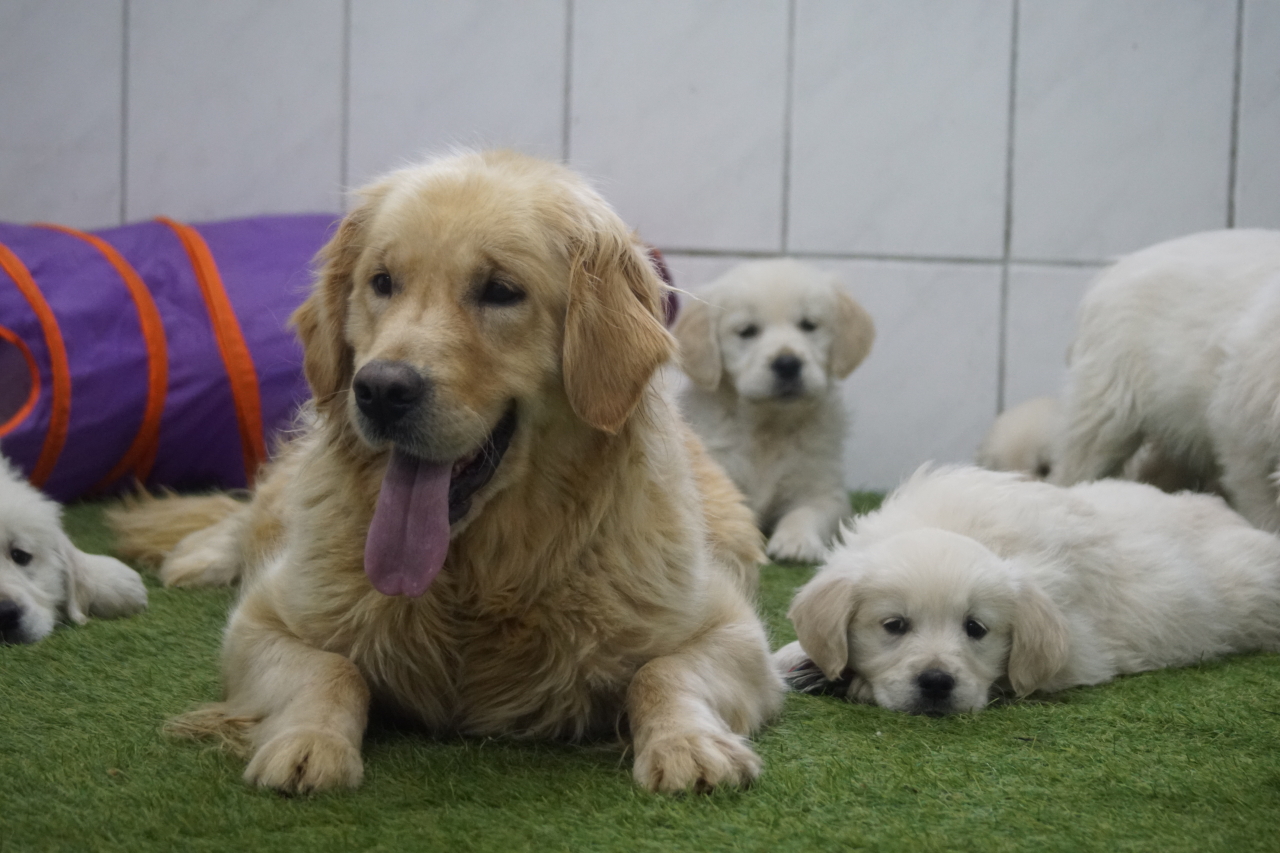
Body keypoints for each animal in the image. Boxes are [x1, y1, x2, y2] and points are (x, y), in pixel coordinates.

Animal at [110, 150, 783, 795]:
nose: (380, 390)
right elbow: (335, 667)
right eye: (382, 283)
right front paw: (307, 742)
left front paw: (689, 744)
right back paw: (199, 556)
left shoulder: (733, 630)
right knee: (249, 513)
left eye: (500, 290)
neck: (475, 582)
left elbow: (661, 671)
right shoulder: (262, 622)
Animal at [672, 259, 875, 563]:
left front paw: (796, 542)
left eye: (809, 325)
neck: (768, 427)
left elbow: (806, 512)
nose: (788, 364)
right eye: (747, 331)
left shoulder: (824, 489)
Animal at [773, 465, 1280, 715]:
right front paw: (798, 660)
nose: (936, 683)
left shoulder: (1076, 651)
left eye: (976, 629)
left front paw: (851, 682)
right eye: (894, 626)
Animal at [1052, 229, 1280, 507]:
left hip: (1177, 421)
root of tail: (1116, 264)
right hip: (1105, 405)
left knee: (1155, 471)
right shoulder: (1241, 438)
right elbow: (1259, 504)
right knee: (1073, 468)